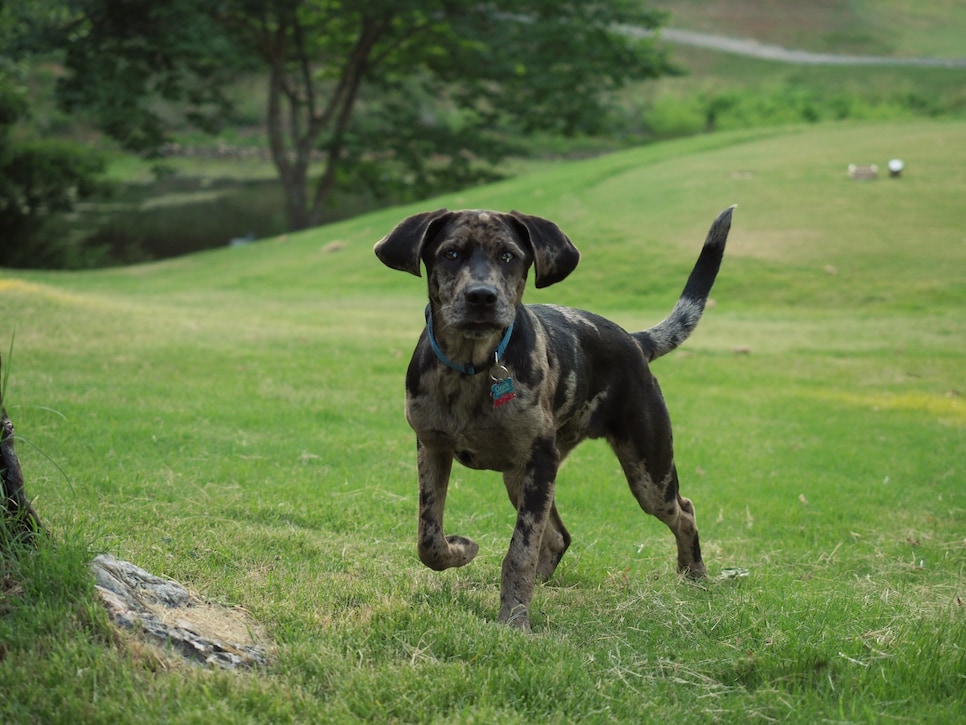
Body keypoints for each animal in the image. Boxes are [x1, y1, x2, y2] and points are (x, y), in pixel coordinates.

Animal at [376, 204, 732, 628]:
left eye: (508, 256)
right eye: (450, 253)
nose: (481, 297)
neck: (472, 368)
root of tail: (632, 339)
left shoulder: (540, 461)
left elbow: (519, 552)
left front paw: (514, 621)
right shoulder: (431, 447)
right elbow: (429, 540)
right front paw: (462, 549)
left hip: (647, 472)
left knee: (684, 511)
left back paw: (693, 574)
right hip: (521, 478)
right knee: (559, 537)